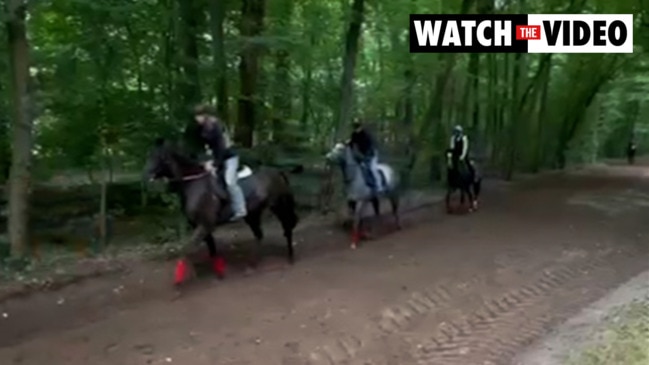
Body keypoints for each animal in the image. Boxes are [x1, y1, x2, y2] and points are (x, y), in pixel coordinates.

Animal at [143, 139, 300, 284]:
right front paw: (218, 273)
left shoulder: (205, 225)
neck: (194, 184)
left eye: (160, 157)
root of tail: (277, 172)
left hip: (278, 206)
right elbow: (211, 249)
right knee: (260, 235)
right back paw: (252, 266)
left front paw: (179, 282)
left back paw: (290, 257)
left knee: (287, 227)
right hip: (253, 214)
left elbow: (186, 249)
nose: (146, 175)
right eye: (149, 155)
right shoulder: (202, 226)